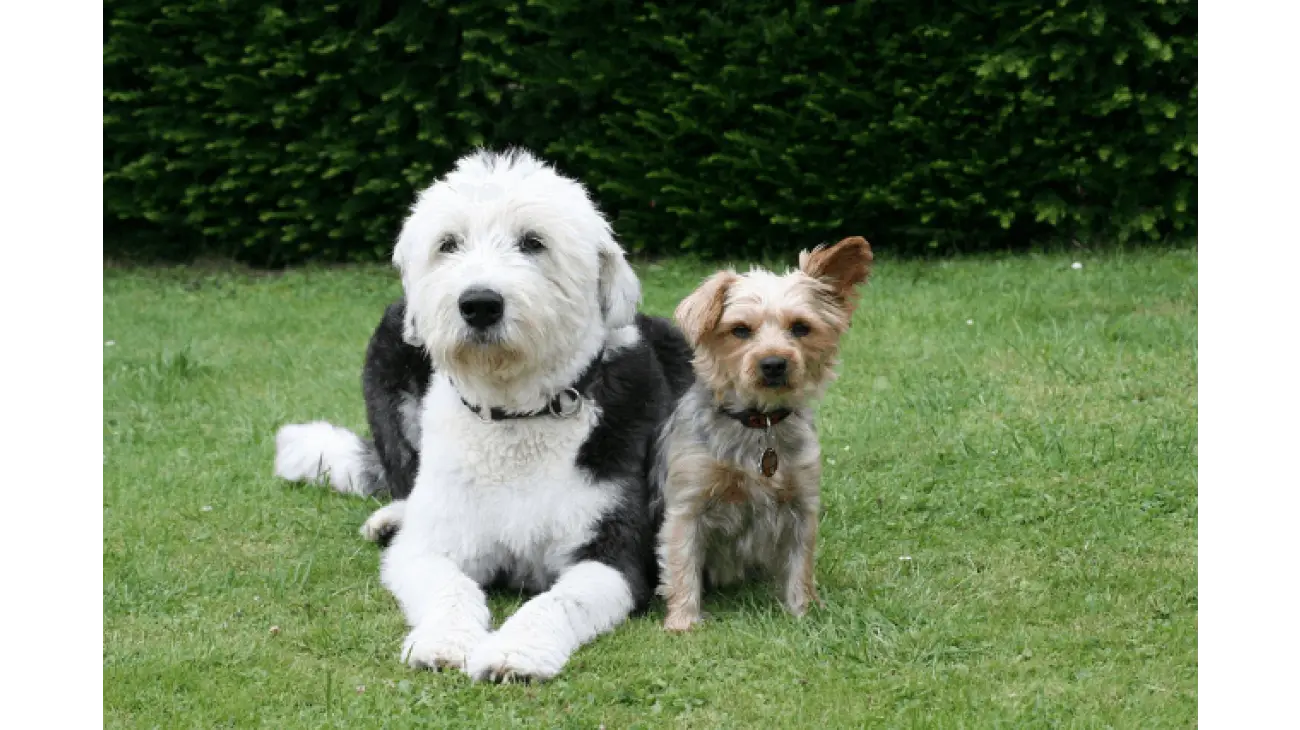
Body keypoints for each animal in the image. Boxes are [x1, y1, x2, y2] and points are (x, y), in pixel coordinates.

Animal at [273, 149, 696, 680]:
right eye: (448, 244)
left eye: (533, 242)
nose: (479, 304)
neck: (517, 416)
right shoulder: (431, 547)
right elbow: (449, 585)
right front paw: (444, 642)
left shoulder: (616, 554)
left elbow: (560, 602)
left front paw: (516, 652)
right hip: (392, 342)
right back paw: (392, 518)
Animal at [650, 236, 873, 628]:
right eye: (740, 329)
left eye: (800, 327)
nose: (773, 363)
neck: (759, 423)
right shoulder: (688, 503)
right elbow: (681, 564)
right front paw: (683, 623)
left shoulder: (801, 503)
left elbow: (800, 564)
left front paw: (803, 612)